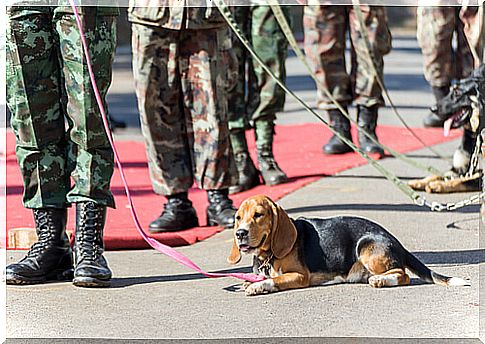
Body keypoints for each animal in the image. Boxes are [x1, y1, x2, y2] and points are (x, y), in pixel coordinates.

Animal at [227, 195, 468, 296]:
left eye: (258, 215)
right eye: (238, 218)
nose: (240, 233)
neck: (268, 255)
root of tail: (394, 240)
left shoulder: (299, 276)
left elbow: (273, 280)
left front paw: (258, 287)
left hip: (366, 246)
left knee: (403, 275)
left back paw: (381, 280)